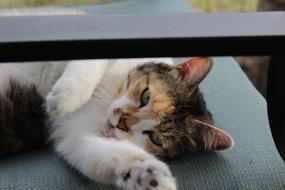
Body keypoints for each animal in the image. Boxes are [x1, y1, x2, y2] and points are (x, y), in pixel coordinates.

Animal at [0, 57, 233, 189]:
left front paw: (150, 176)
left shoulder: (75, 134)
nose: (121, 123)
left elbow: (98, 152)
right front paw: (65, 98)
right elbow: (89, 63)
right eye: (146, 96)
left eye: (156, 138)